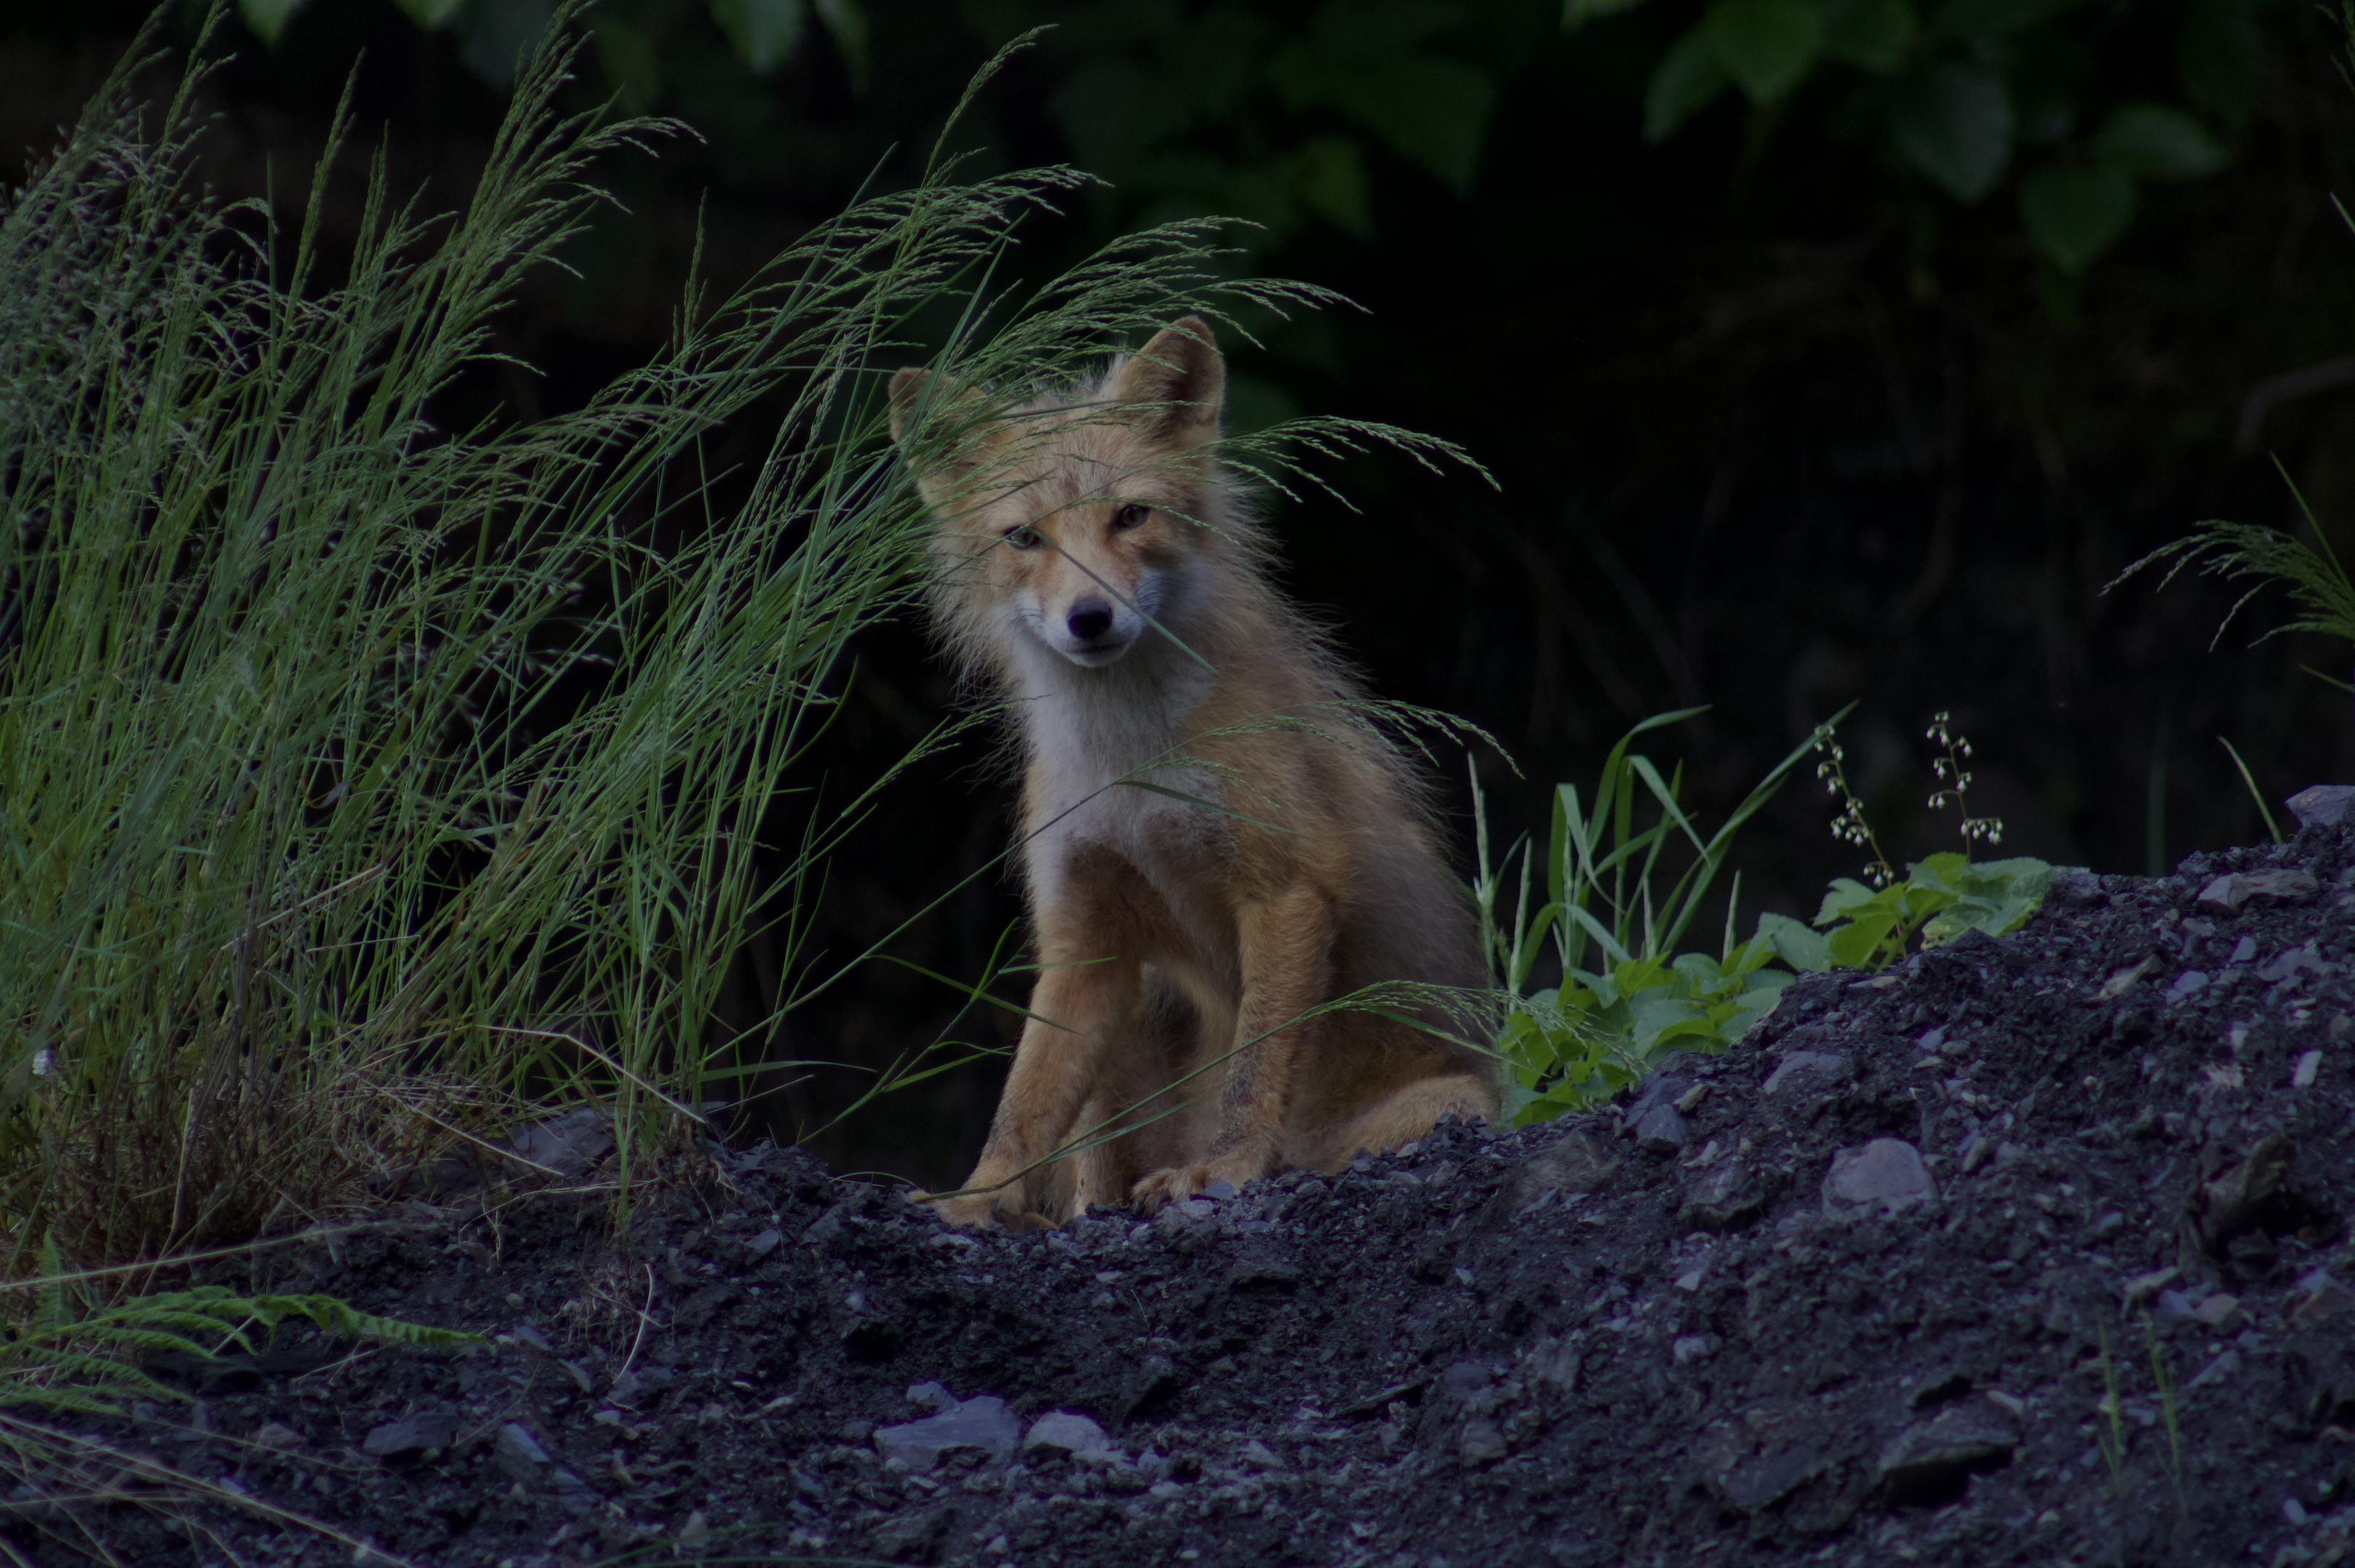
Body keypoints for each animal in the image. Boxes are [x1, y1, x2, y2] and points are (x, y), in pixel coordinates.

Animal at [887, 316, 1498, 1229]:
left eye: (1130, 515)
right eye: (1025, 537)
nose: (1090, 616)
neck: (1132, 768)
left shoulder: (1285, 888)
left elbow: (1255, 1066)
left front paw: (1229, 1168)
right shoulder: (1084, 935)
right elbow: (1021, 1107)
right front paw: (975, 1202)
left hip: (1452, 1105)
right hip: (1137, 1018)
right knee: (1094, 1157)